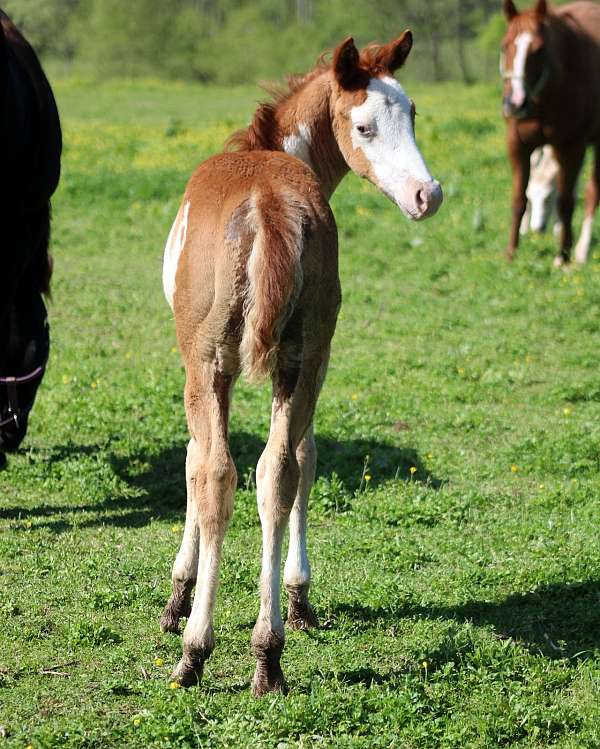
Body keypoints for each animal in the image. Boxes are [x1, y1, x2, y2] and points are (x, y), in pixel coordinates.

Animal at [161, 32, 442, 695]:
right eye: (365, 125)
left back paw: (197, 651)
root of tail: (267, 203)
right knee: (278, 472)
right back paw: (268, 654)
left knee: (224, 474)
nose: (428, 195)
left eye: (411, 114)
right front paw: (297, 599)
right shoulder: (305, 361)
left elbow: (194, 463)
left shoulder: (202, 367)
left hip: (212, 362)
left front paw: (179, 594)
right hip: (304, 357)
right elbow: (299, 459)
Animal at [501, 0, 600, 266]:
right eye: (505, 46)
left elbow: (565, 201)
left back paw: (581, 249)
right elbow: (519, 198)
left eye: (539, 50)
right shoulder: (518, 145)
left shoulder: (572, 146)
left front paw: (563, 257)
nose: (515, 103)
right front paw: (511, 253)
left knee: (591, 193)